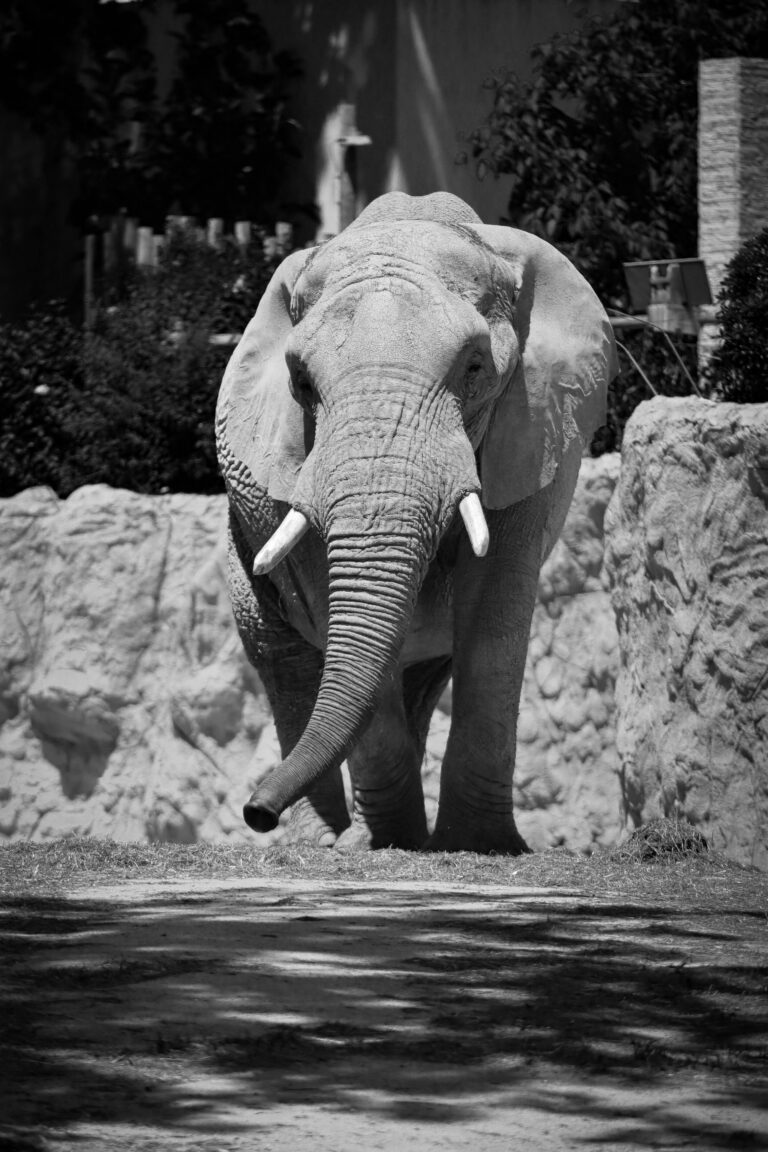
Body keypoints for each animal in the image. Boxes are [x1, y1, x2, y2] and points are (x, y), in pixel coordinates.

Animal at [215, 190, 617, 853]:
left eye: (475, 368)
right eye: (300, 381)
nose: (254, 813)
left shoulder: (530, 431)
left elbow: (493, 614)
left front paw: (479, 843)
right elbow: (331, 603)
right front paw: (385, 844)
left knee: (422, 677)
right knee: (285, 661)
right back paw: (324, 841)